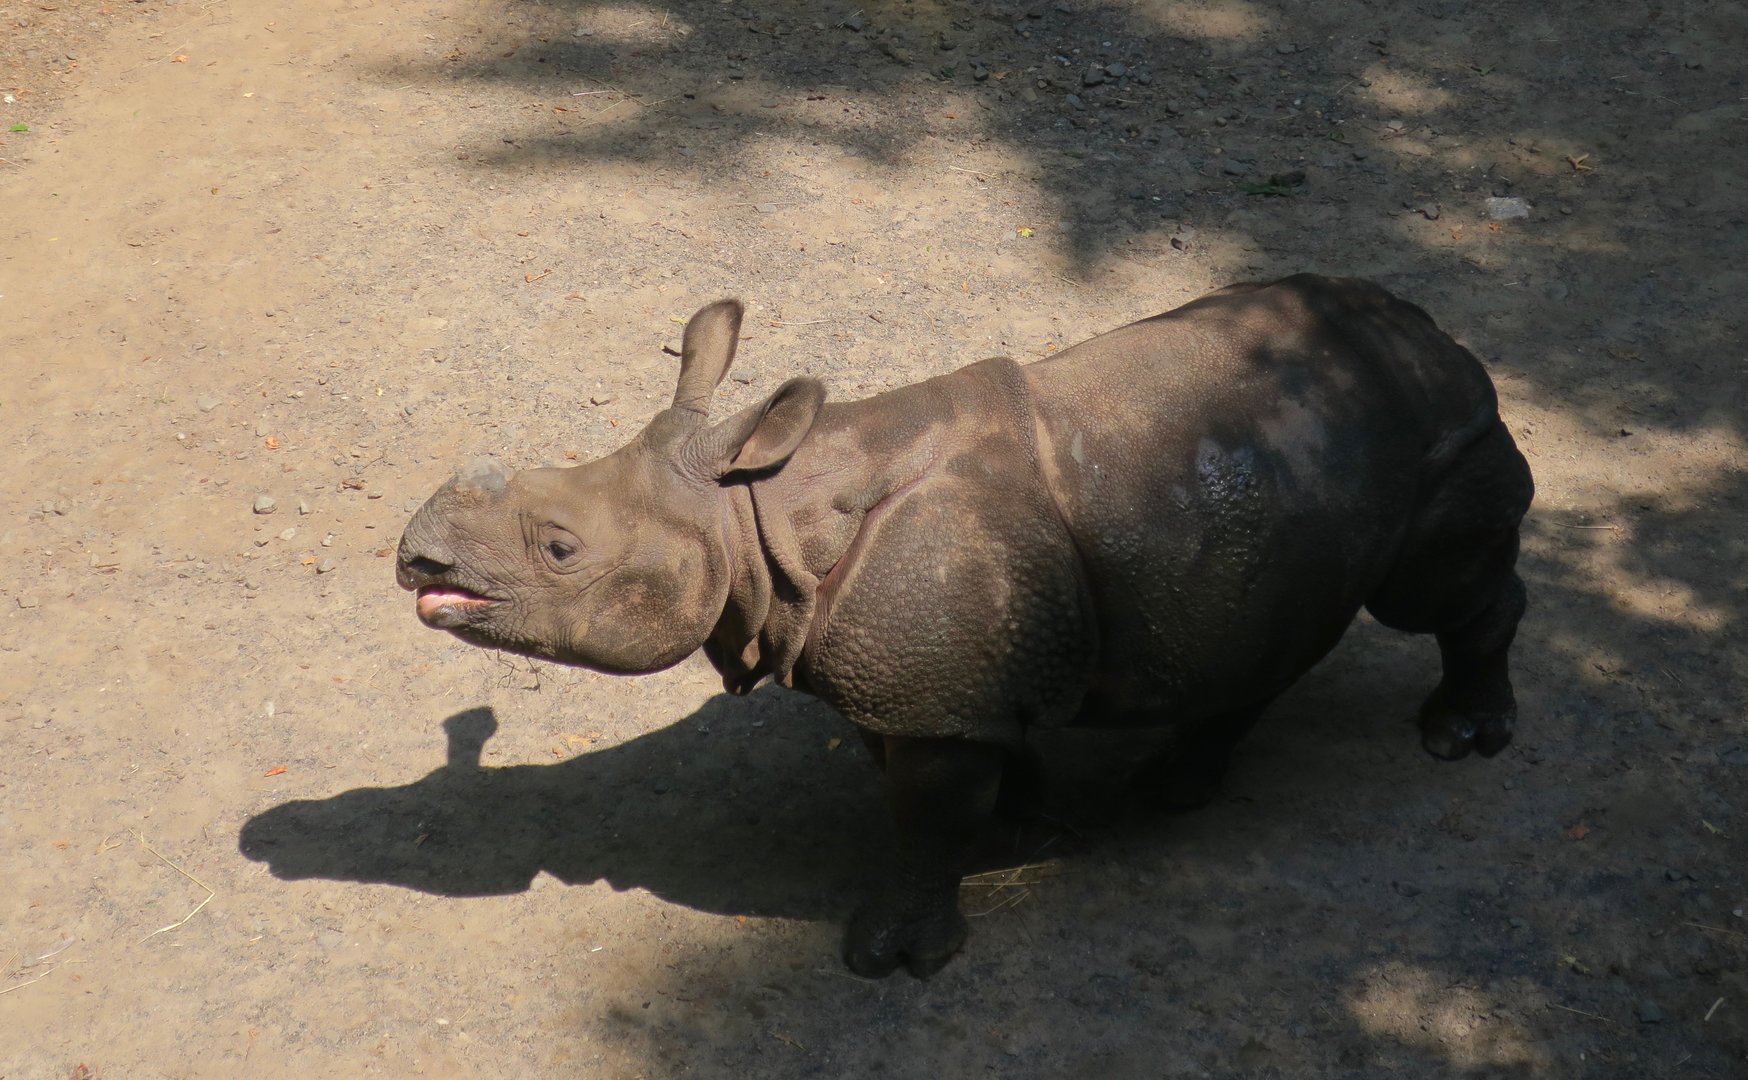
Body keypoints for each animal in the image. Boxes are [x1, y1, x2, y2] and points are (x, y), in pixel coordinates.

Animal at [396, 275, 1533, 977]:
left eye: (558, 549)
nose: (414, 557)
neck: (757, 516)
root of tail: (1435, 332)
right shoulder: (912, 672)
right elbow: (952, 782)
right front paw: (1022, 829)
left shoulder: (927, 689)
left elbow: (924, 816)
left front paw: (891, 958)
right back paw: (1172, 790)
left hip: (1441, 426)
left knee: (1429, 595)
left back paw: (1460, 738)